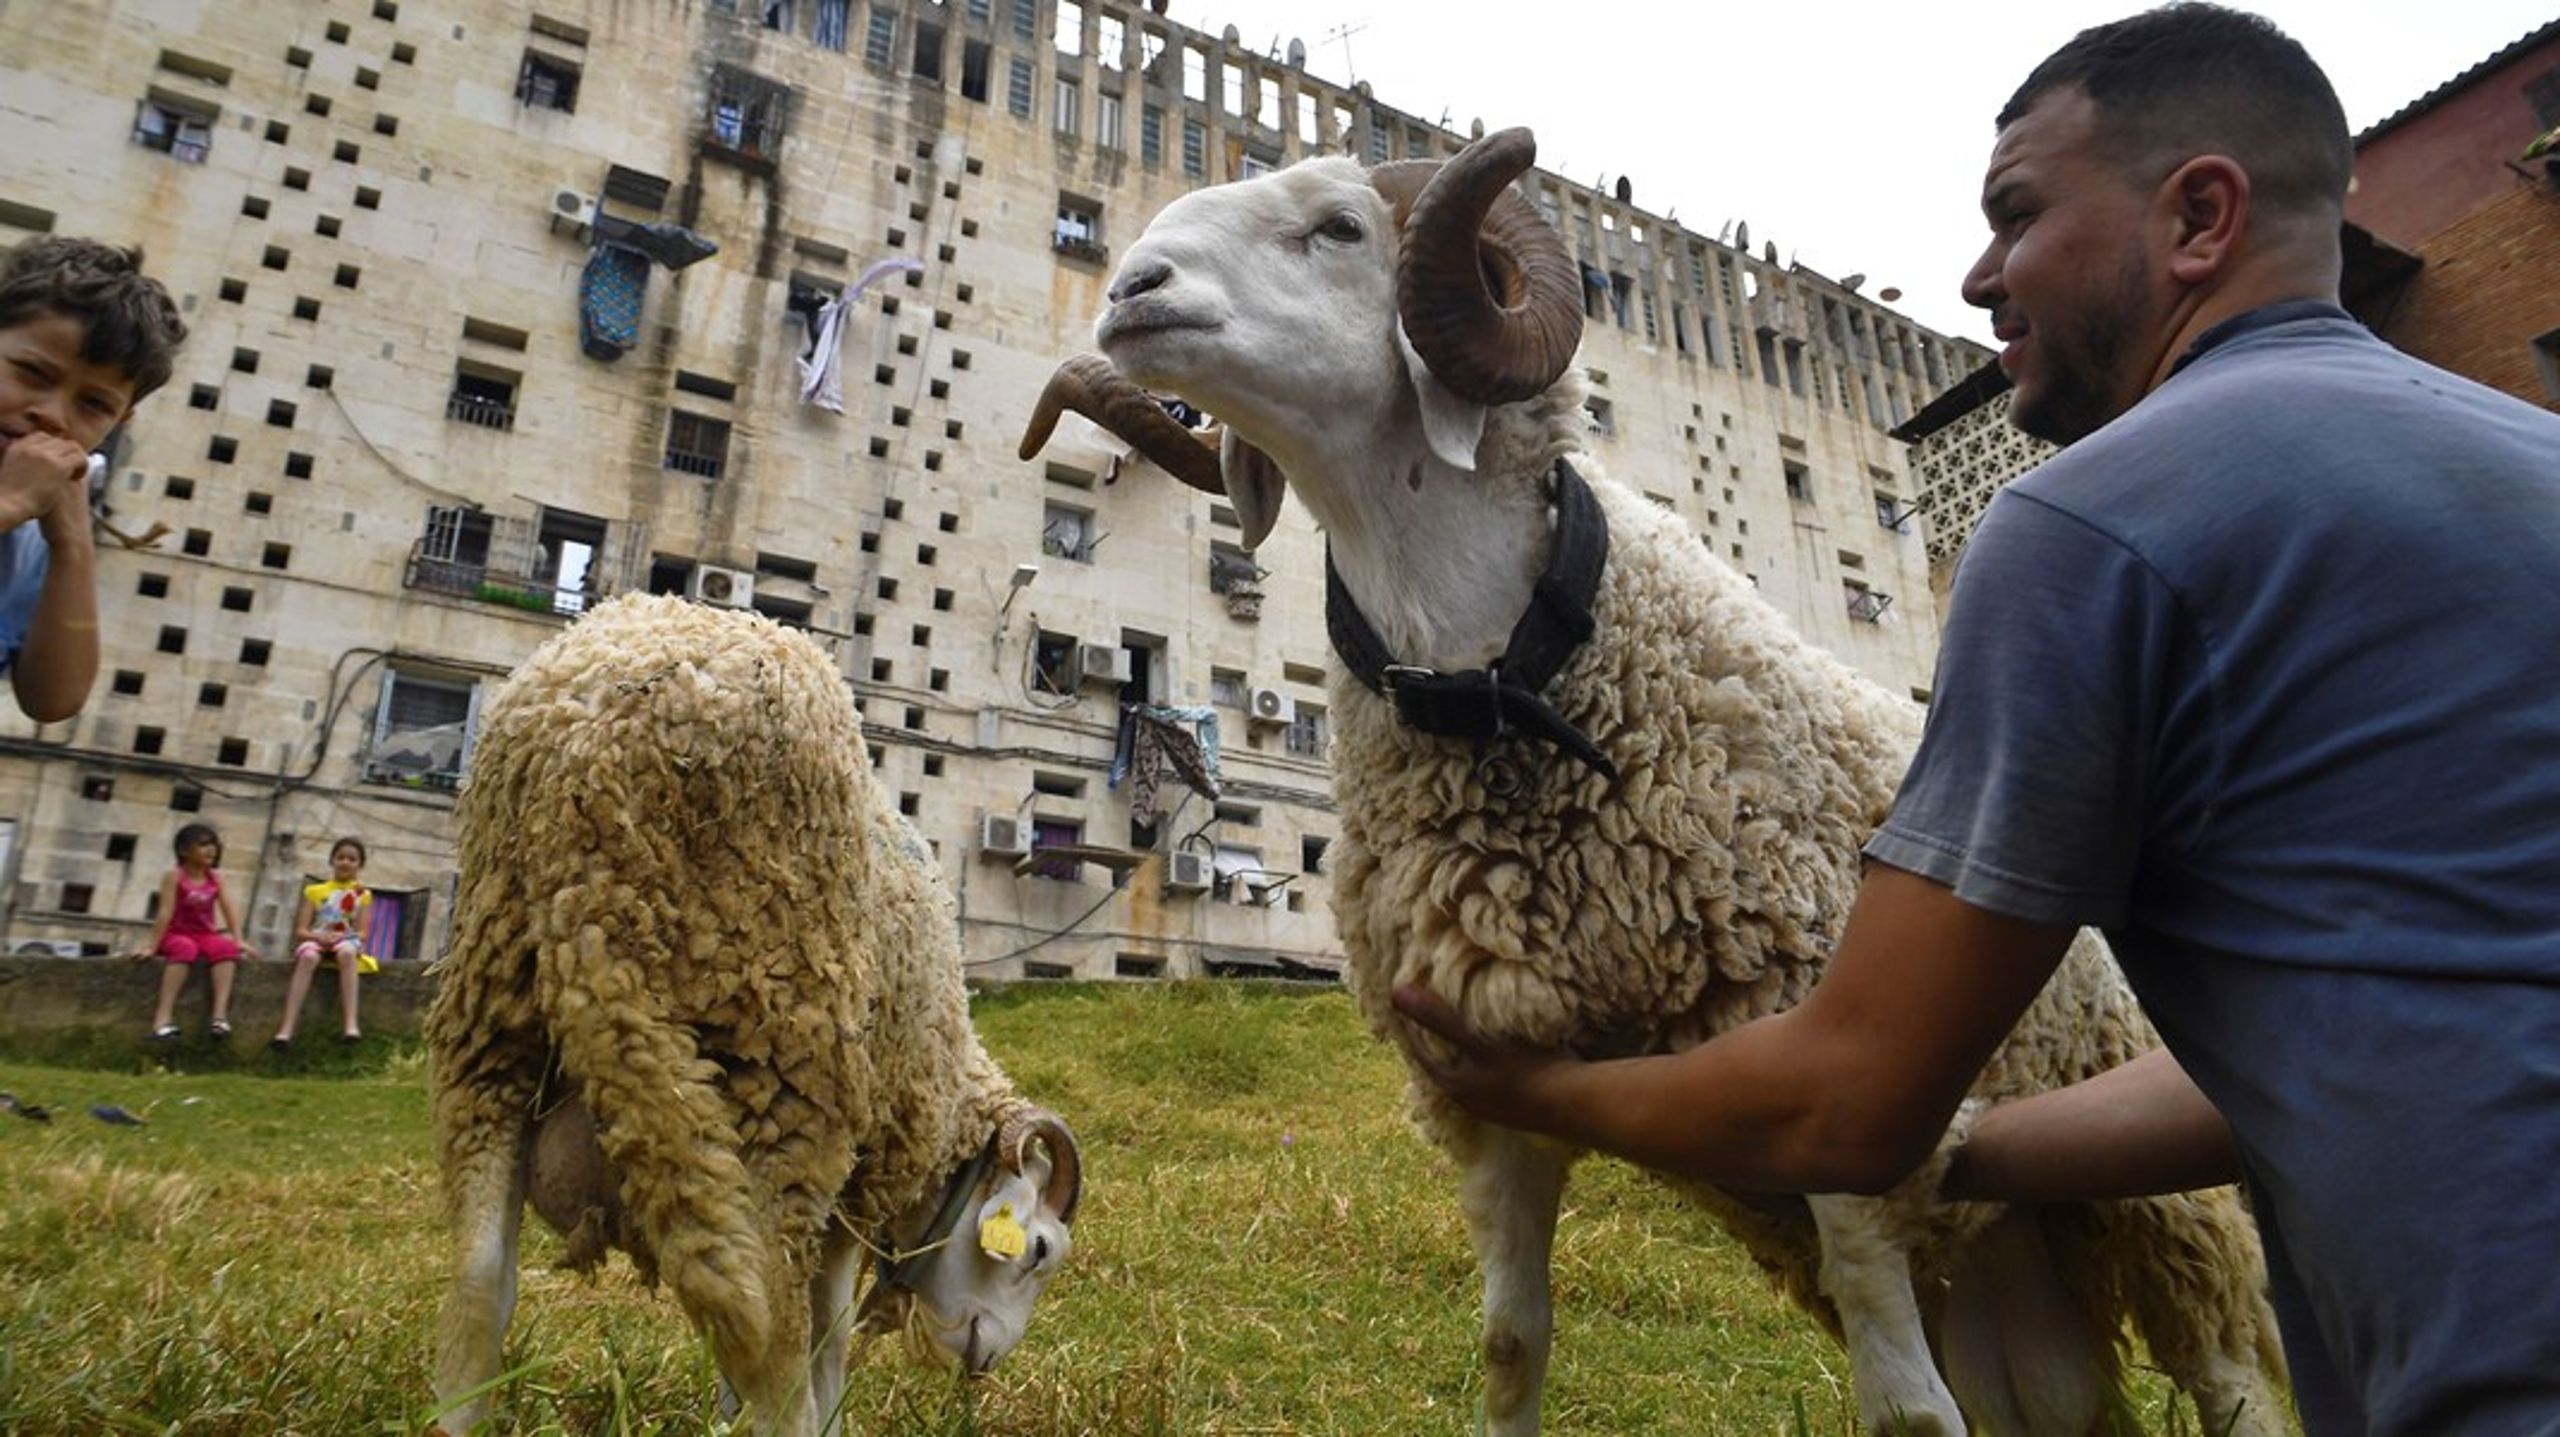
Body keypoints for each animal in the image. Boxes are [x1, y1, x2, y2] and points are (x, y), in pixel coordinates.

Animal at [427, 591, 1080, 1434]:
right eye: (1039, 1251)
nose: (986, 1360)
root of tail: (582, 739)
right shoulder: (857, 1174)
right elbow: (830, 1331)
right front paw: (825, 1414)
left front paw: (724, 1410)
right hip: (785, 1058)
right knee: (771, 1314)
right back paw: (786, 1413)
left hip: (492, 1014)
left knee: (481, 1280)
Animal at [1018, 128, 2283, 1424]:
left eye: (1337, 227)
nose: (1130, 288)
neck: (1506, 681)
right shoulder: (1492, 1090)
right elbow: (1509, 1347)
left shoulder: (1834, 1092)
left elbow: (1907, 1409)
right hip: (2002, 1245)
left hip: (2159, 1199)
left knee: (2225, 1377)